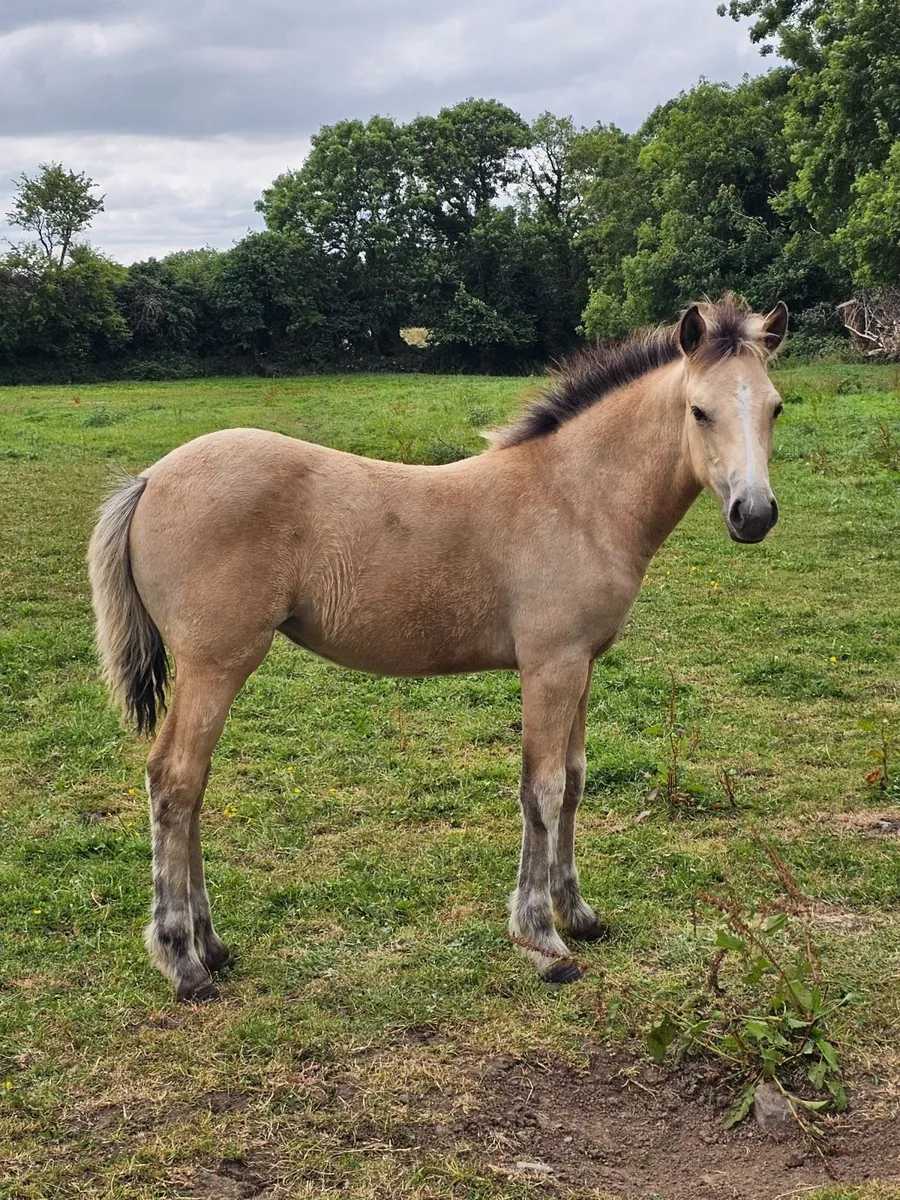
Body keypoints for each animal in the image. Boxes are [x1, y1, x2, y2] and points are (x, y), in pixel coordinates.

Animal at [88, 295, 788, 1001]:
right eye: (699, 411)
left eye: (775, 407)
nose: (753, 515)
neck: (576, 499)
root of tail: (150, 478)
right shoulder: (549, 667)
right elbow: (542, 790)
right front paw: (543, 942)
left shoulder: (582, 665)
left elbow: (575, 781)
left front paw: (580, 915)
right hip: (214, 666)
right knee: (174, 783)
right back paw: (183, 963)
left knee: (193, 787)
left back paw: (212, 946)